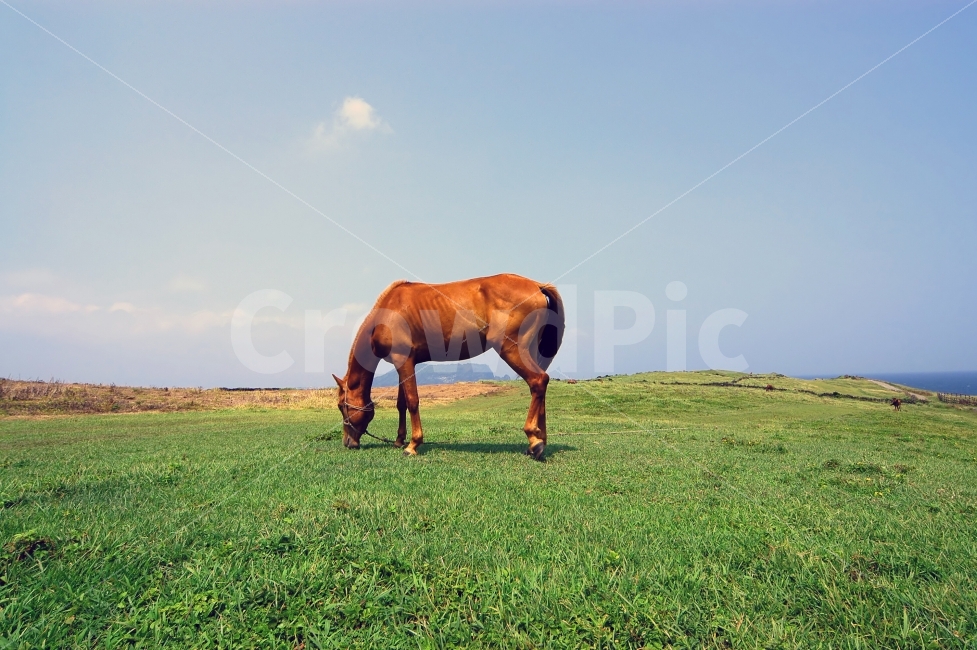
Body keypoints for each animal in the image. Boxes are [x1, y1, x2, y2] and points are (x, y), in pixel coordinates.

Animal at [333, 274, 565, 460]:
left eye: (341, 406)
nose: (348, 443)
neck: (388, 312)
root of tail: (537, 285)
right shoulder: (402, 364)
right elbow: (401, 404)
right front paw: (399, 440)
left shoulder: (404, 361)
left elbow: (413, 401)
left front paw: (413, 445)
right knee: (540, 386)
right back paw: (539, 438)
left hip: (512, 349)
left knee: (538, 381)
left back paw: (534, 441)